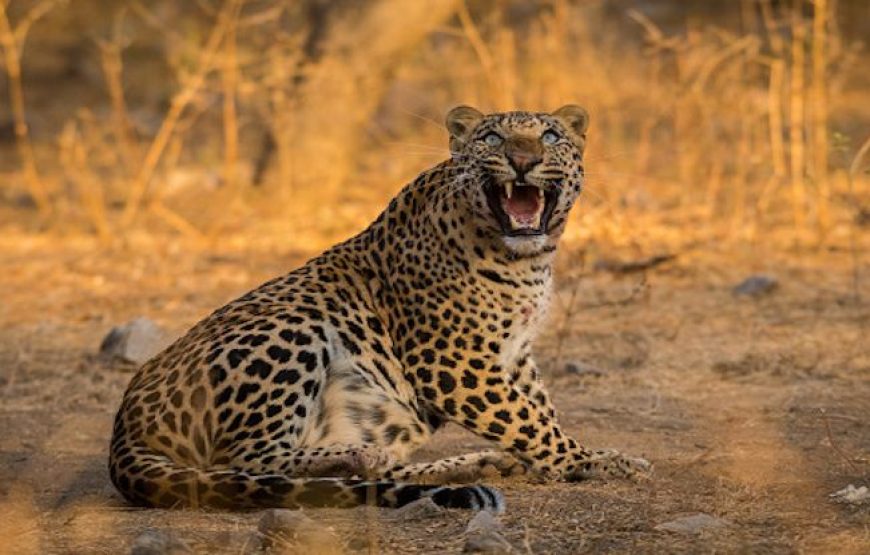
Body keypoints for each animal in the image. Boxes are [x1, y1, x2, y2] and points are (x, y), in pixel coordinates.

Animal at [108, 104, 650, 513]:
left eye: (551, 135)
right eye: (493, 138)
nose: (522, 157)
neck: (526, 261)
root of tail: (122, 428)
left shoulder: (514, 354)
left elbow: (537, 410)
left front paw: (560, 458)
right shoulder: (452, 360)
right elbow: (527, 419)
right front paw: (594, 461)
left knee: (370, 465)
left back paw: (463, 463)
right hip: (292, 327)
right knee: (242, 459)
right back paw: (355, 457)